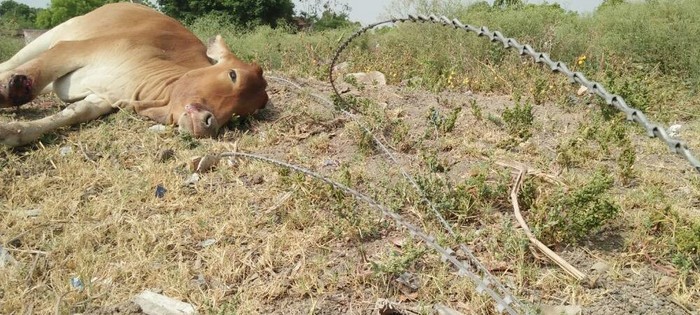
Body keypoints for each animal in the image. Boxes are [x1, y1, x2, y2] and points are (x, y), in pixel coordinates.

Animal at [0, 3, 270, 148]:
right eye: (233, 75)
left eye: (241, 115)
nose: (209, 123)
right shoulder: (70, 49)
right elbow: (34, 75)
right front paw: (12, 91)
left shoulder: (102, 98)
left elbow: (70, 114)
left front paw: (13, 133)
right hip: (54, 34)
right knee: (10, 63)